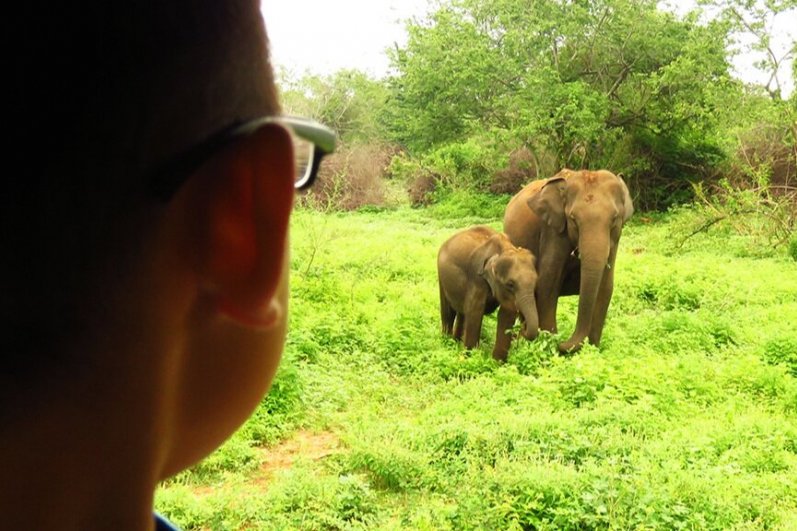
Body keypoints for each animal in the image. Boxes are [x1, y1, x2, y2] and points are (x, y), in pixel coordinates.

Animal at [437, 226, 539, 361]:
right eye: (510, 284)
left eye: (536, 282)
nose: (522, 329)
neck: (505, 248)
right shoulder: (477, 278)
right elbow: (475, 312)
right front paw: (469, 358)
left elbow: (507, 314)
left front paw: (497, 362)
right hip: (441, 275)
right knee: (448, 311)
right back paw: (447, 343)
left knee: (461, 312)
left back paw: (456, 341)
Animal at [503, 169, 633, 353]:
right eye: (573, 219)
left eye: (614, 218)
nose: (562, 343)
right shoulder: (553, 231)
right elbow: (548, 285)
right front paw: (551, 344)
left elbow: (606, 287)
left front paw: (592, 350)